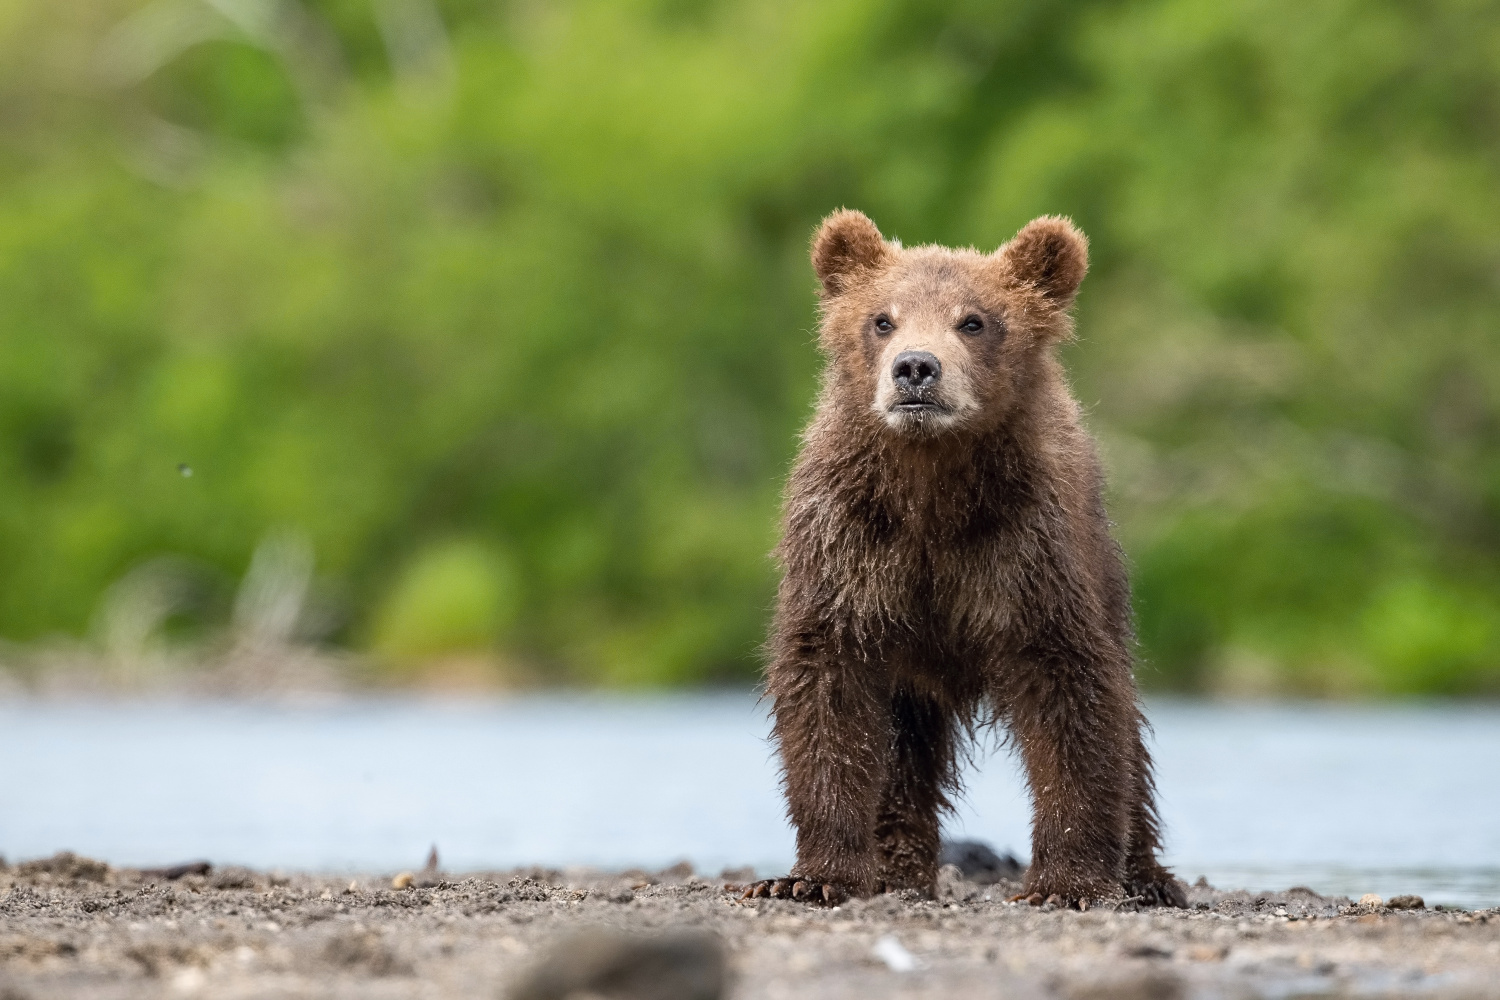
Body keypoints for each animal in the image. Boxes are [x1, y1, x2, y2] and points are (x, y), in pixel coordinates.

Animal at [738, 211, 1182, 917]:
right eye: (882, 319)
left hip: (1101, 564)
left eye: (973, 320)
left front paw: (1070, 883)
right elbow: (828, 689)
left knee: (1126, 728)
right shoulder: (851, 548)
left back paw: (1146, 877)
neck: (930, 490)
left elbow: (1075, 697)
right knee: (904, 750)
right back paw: (898, 871)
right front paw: (811, 875)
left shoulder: (1023, 551)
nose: (916, 368)